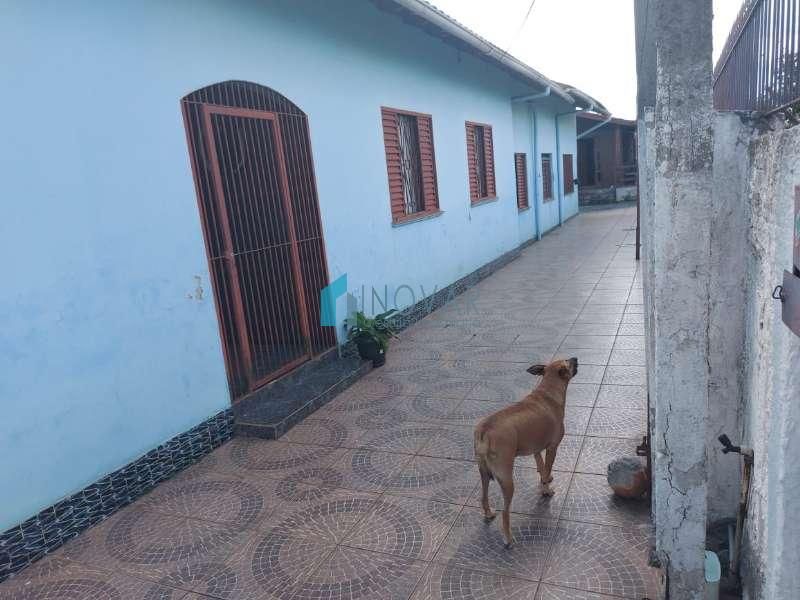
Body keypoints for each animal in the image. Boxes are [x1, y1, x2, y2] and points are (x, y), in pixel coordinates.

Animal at [472, 356, 580, 548]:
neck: (548, 391)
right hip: (507, 480)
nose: (575, 358)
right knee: (505, 512)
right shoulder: (552, 448)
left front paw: (545, 479)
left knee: (483, 496)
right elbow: (547, 467)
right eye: (569, 362)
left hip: (484, 474)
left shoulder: (536, 448)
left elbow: (541, 466)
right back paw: (508, 538)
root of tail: (485, 431)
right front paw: (546, 490)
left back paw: (488, 513)